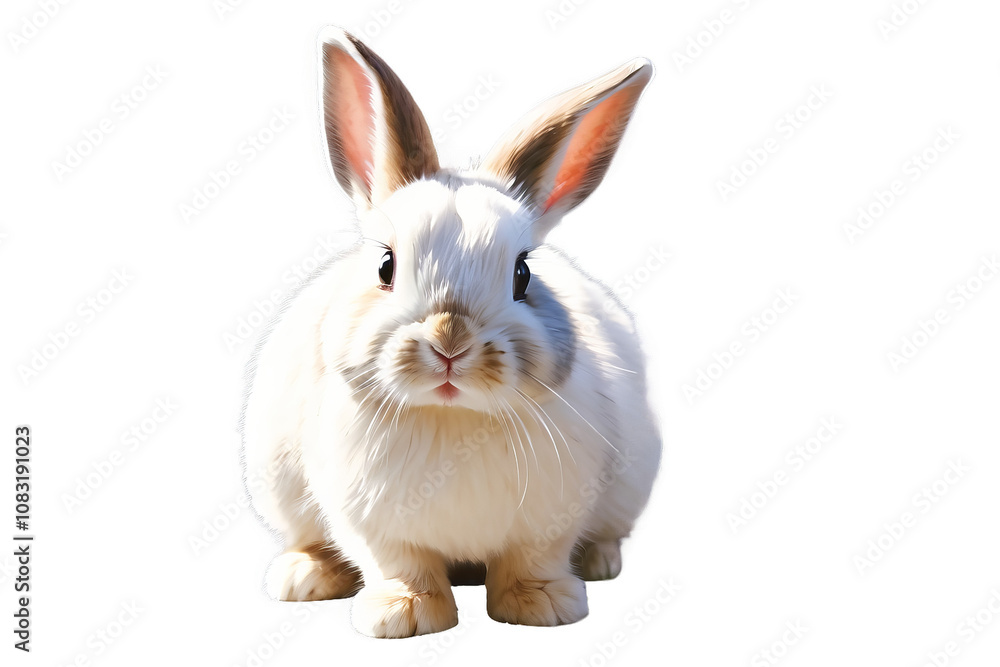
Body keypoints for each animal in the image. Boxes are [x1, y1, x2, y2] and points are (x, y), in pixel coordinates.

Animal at [241, 26, 662, 638]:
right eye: (386, 265)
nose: (450, 343)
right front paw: (405, 615)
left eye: (522, 274)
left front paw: (544, 608)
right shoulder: (370, 524)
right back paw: (304, 576)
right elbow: (400, 565)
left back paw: (601, 561)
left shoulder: (551, 520)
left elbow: (531, 560)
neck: (452, 417)